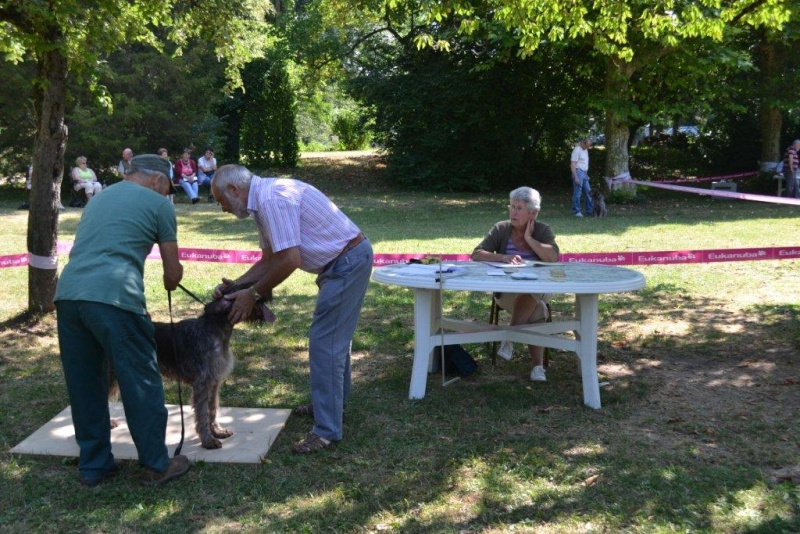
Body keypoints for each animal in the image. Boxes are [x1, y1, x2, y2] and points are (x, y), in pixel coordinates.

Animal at [111, 284, 276, 452]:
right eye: (247, 288)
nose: (267, 292)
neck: (216, 328)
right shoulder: (202, 383)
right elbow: (202, 413)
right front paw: (208, 440)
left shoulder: (214, 382)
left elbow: (212, 409)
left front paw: (217, 431)